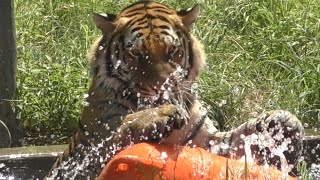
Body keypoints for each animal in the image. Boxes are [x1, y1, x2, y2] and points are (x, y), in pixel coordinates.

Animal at [46, 1, 304, 179]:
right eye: (135, 54)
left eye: (172, 51)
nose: (160, 87)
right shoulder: (85, 155)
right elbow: (120, 127)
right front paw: (161, 115)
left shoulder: (207, 142)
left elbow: (238, 140)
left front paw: (282, 122)